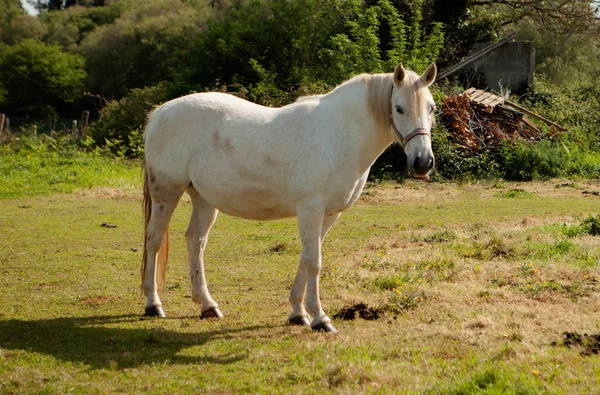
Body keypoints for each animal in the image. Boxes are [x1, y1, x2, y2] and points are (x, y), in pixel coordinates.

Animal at [143, 62, 438, 334]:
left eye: (432, 108)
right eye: (398, 108)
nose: (422, 163)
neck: (338, 134)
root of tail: (160, 113)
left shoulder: (329, 214)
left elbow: (306, 259)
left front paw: (298, 312)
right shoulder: (311, 209)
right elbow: (314, 263)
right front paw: (320, 319)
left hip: (203, 199)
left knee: (196, 241)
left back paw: (207, 305)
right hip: (166, 194)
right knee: (154, 240)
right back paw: (153, 304)